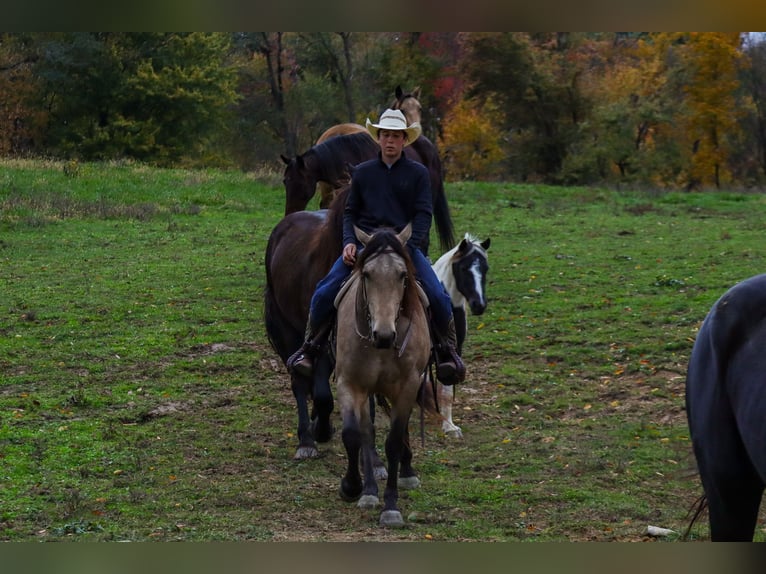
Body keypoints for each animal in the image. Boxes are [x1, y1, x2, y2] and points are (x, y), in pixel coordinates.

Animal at [335, 224, 431, 527]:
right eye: (366, 274)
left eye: (402, 275)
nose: (384, 335)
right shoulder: (349, 384)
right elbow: (354, 435)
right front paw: (353, 487)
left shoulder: (408, 386)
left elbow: (394, 442)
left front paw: (391, 506)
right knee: (367, 431)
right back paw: (368, 490)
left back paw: (407, 472)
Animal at [430, 233, 490, 438]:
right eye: (464, 268)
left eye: (486, 268)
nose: (479, 305)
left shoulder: (453, 352)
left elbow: (447, 390)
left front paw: (449, 426)